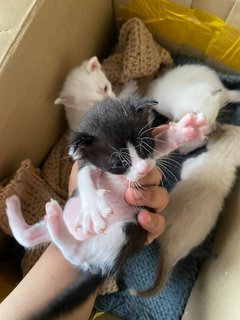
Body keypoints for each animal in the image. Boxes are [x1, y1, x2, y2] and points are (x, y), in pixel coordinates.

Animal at [5, 96, 206, 318]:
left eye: (145, 146)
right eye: (118, 163)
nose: (144, 170)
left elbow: (160, 145)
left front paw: (183, 131)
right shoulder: (84, 163)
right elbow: (84, 177)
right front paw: (93, 208)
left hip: (125, 233)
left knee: (46, 243)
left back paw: (35, 212)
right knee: (57, 246)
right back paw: (32, 210)